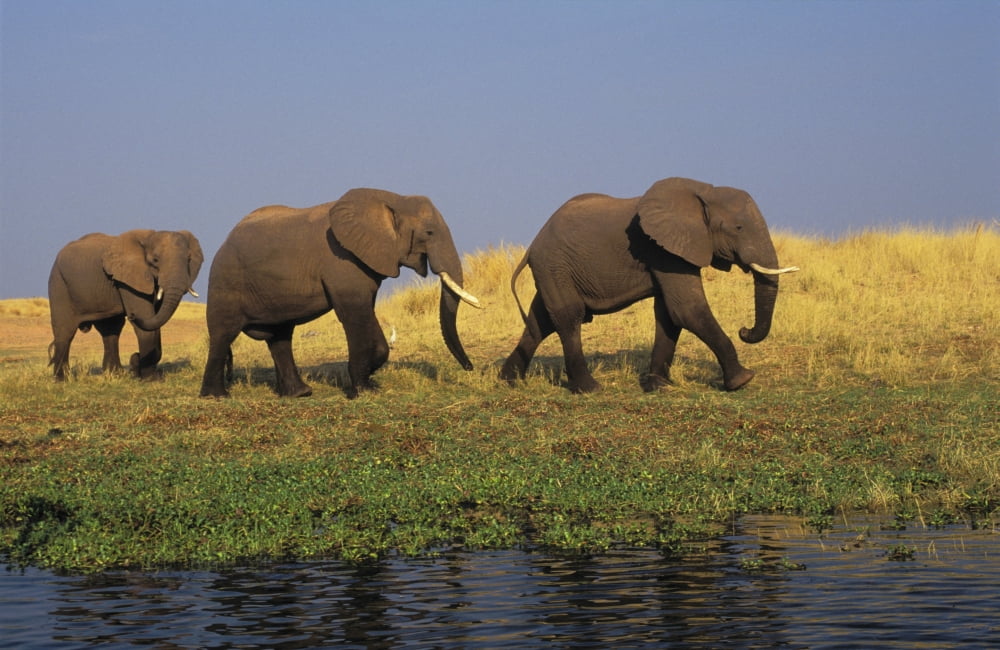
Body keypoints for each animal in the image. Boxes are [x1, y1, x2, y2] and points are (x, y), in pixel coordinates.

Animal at [48, 229, 204, 380]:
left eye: (189, 260)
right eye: (155, 260)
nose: (132, 316)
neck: (148, 236)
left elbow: (154, 321)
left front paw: (142, 370)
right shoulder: (128, 280)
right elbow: (146, 321)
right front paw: (150, 378)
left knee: (111, 330)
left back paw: (115, 374)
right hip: (58, 283)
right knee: (65, 331)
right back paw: (62, 379)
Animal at [199, 187, 482, 399]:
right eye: (429, 233)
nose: (470, 368)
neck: (392, 200)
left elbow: (367, 310)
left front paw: (368, 381)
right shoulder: (341, 260)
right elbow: (354, 314)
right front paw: (363, 392)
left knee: (280, 337)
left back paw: (300, 394)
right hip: (225, 280)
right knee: (224, 333)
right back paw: (216, 396)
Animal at [500, 177, 798, 393]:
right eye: (738, 228)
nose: (744, 330)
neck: (703, 191)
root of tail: (532, 245)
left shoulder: (669, 251)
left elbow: (669, 315)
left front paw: (659, 386)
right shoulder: (664, 249)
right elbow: (687, 309)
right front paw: (742, 381)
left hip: (553, 270)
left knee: (540, 321)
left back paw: (509, 381)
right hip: (554, 265)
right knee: (568, 317)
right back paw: (589, 389)